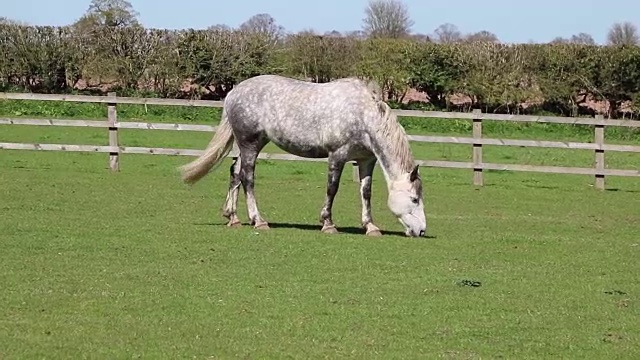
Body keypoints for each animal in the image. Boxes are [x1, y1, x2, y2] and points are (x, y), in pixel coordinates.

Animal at [179, 74, 424, 238]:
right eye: (414, 199)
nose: (421, 230)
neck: (363, 115)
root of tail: (233, 93)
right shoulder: (337, 156)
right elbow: (332, 188)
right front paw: (328, 224)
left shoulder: (366, 161)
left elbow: (366, 193)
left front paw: (370, 226)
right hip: (250, 144)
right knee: (247, 178)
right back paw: (258, 221)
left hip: (247, 145)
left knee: (235, 174)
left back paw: (233, 218)